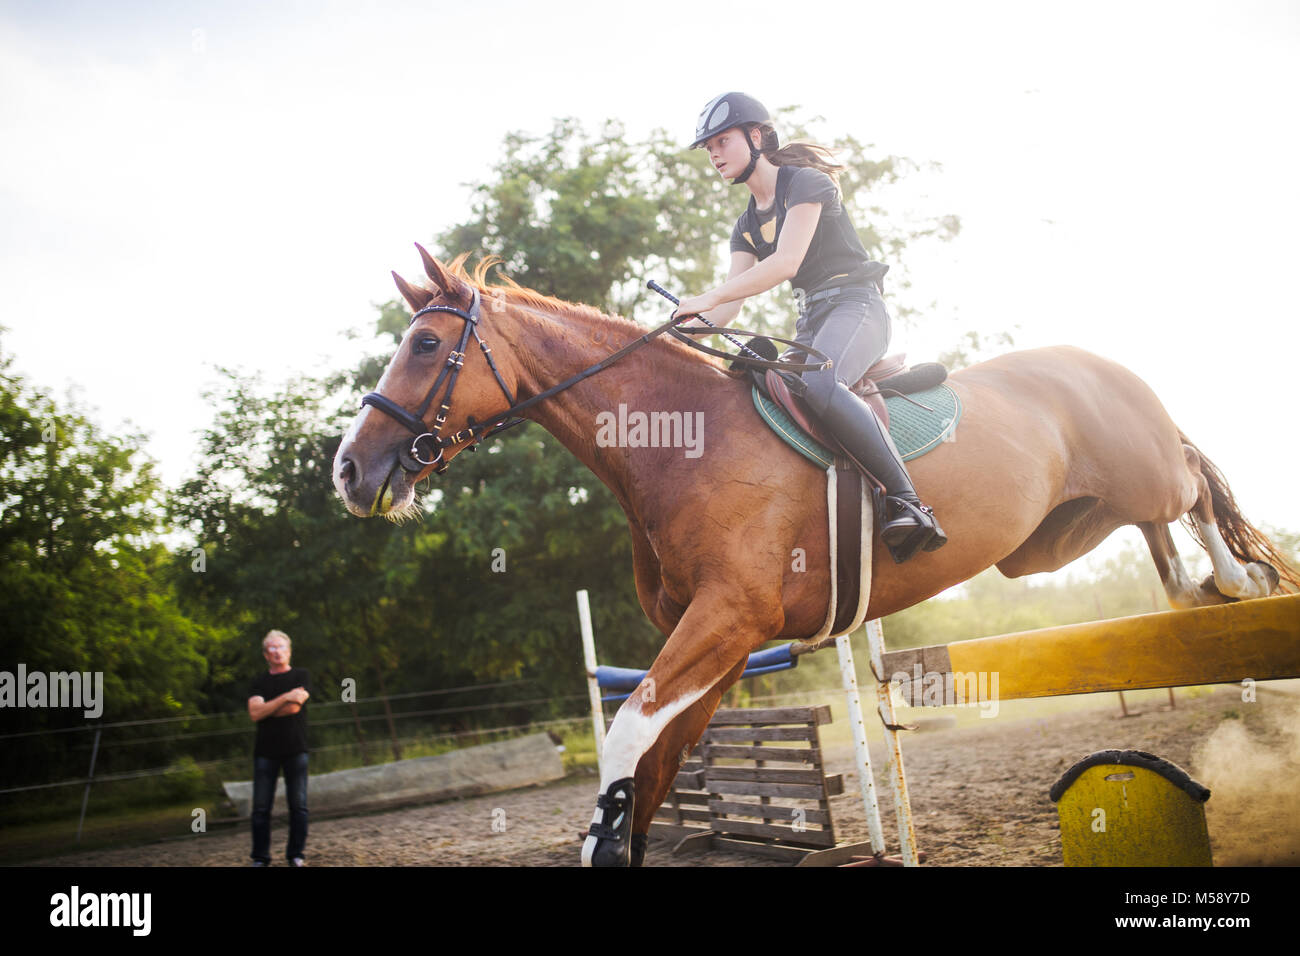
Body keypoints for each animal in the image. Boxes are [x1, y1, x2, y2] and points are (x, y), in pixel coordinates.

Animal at [332, 248, 1289, 868]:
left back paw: (1240, 578)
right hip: (1056, 539)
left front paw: (600, 836)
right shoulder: (717, 645)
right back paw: (1203, 591)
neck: (680, 442)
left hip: (1137, 473)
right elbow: (658, 761)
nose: (349, 470)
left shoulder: (730, 619)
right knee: (1162, 537)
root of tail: (1104, 361)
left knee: (1192, 481)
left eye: (426, 345)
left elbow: (627, 739)